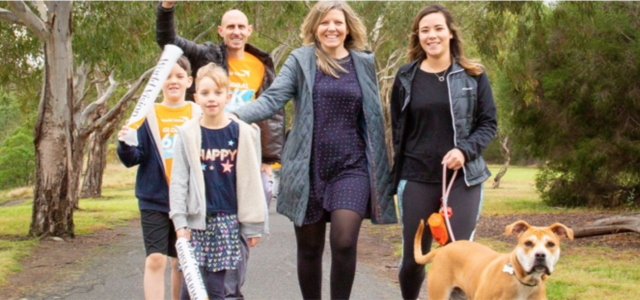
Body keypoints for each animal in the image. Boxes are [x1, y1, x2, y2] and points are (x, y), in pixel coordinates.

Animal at [416, 219, 576, 298]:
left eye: (551, 244)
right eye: (528, 243)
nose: (540, 255)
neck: (522, 281)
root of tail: (443, 248)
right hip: (439, 294)